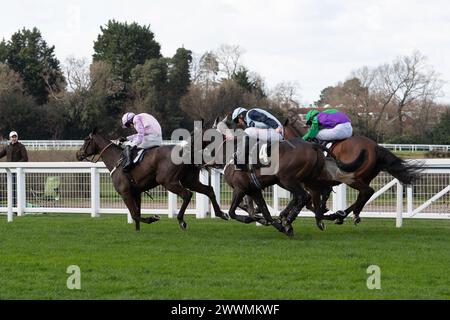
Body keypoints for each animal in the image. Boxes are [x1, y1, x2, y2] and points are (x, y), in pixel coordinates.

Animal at [76, 129, 229, 231]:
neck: (116, 160)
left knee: (187, 194)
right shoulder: (136, 193)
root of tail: (185, 151)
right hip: (190, 180)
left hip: (168, 181)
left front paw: (152, 218)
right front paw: (137, 232)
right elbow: (137, 214)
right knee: (209, 190)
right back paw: (221, 213)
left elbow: (135, 215)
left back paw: (181, 221)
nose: (78, 154)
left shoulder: (125, 193)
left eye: (85, 140)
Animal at [284, 116, 424, 224]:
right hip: (365, 177)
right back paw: (342, 215)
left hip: (351, 177)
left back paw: (343, 215)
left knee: (367, 191)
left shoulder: (311, 184)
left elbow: (306, 202)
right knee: (364, 194)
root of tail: (375, 147)